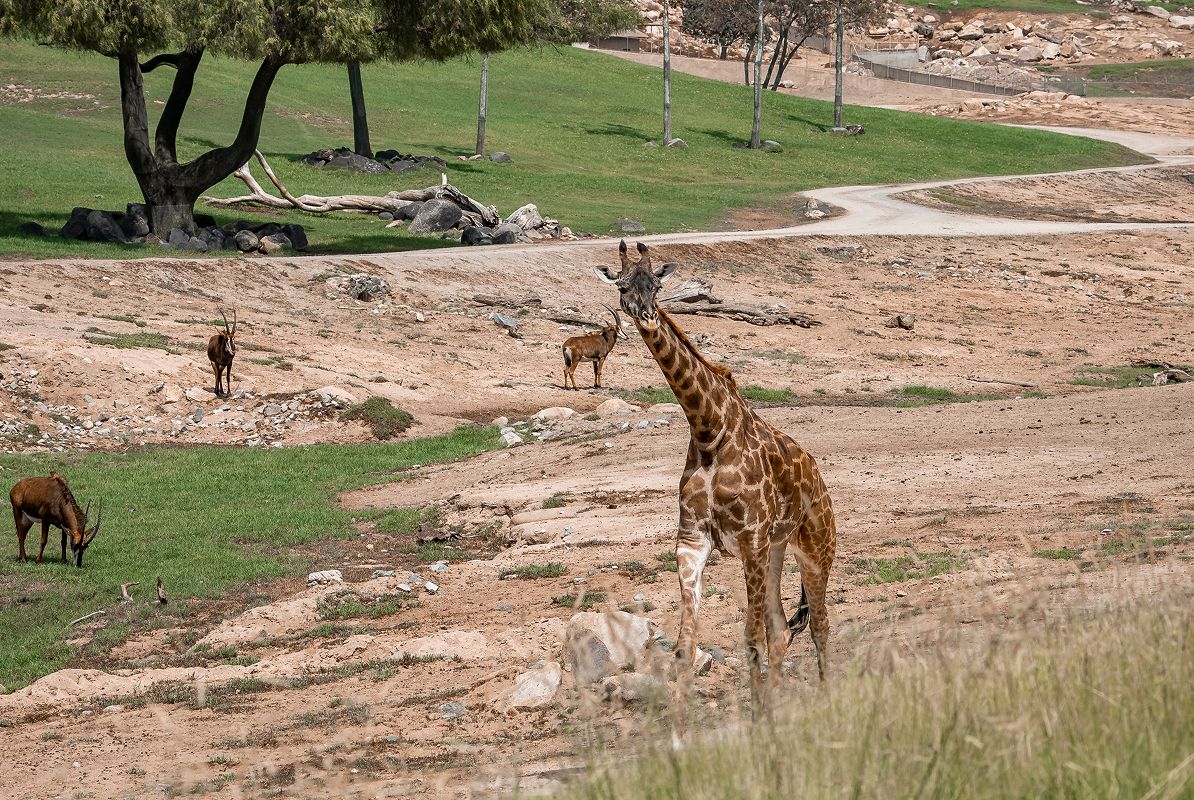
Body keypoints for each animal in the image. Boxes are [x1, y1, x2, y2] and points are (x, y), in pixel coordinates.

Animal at [596, 240, 837, 708]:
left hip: (816, 550)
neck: (710, 431)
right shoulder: (692, 540)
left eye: (655, 285)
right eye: (622, 285)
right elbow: (685, 647)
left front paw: (760, 713)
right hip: (776, 551)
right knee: (782, 629)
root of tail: (820, 481)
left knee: (818, 625)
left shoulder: (750, 539)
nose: (645, 314)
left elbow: (749, 638)